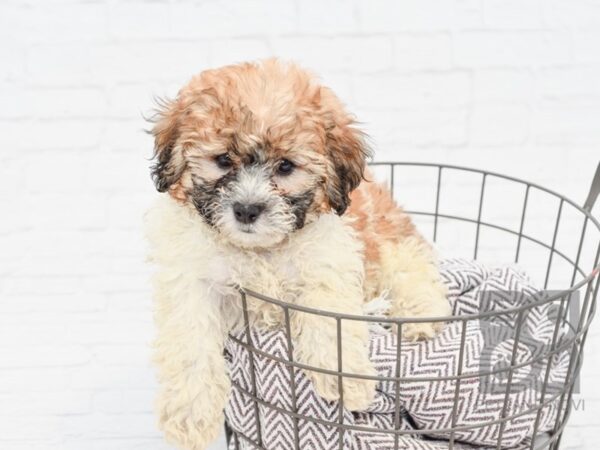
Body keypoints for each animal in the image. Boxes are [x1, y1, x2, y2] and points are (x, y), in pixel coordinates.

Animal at [143, 59, 448, 450]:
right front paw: (189, 414)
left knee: (415, 275)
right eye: (223, 160)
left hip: (394, 244)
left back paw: (421, 318)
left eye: (286, 166)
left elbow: (330, 325)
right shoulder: (191, 281)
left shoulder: (326, 266)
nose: (246, 210)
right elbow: (189, 344)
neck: (262, 250)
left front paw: (348, 380)